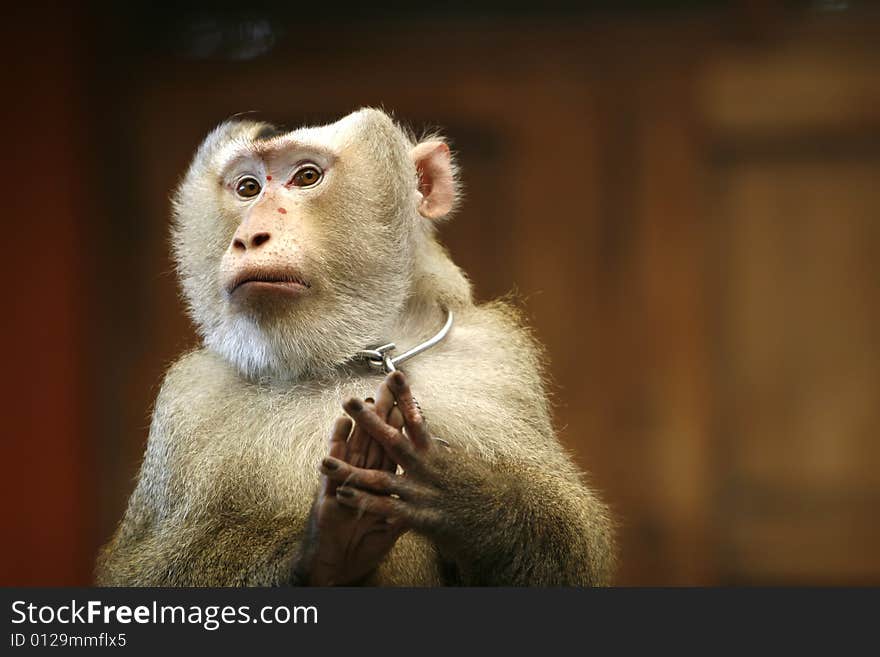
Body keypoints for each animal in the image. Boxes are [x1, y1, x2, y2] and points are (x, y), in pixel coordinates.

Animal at [96, 106, 616, 584]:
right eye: (247, 188)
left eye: (307, 176)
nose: (249, 237)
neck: (347, 358)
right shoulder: (188, 399)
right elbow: (142, 569)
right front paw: (328, 544)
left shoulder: (497, 363)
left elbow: (570, 555)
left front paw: (465, 498)